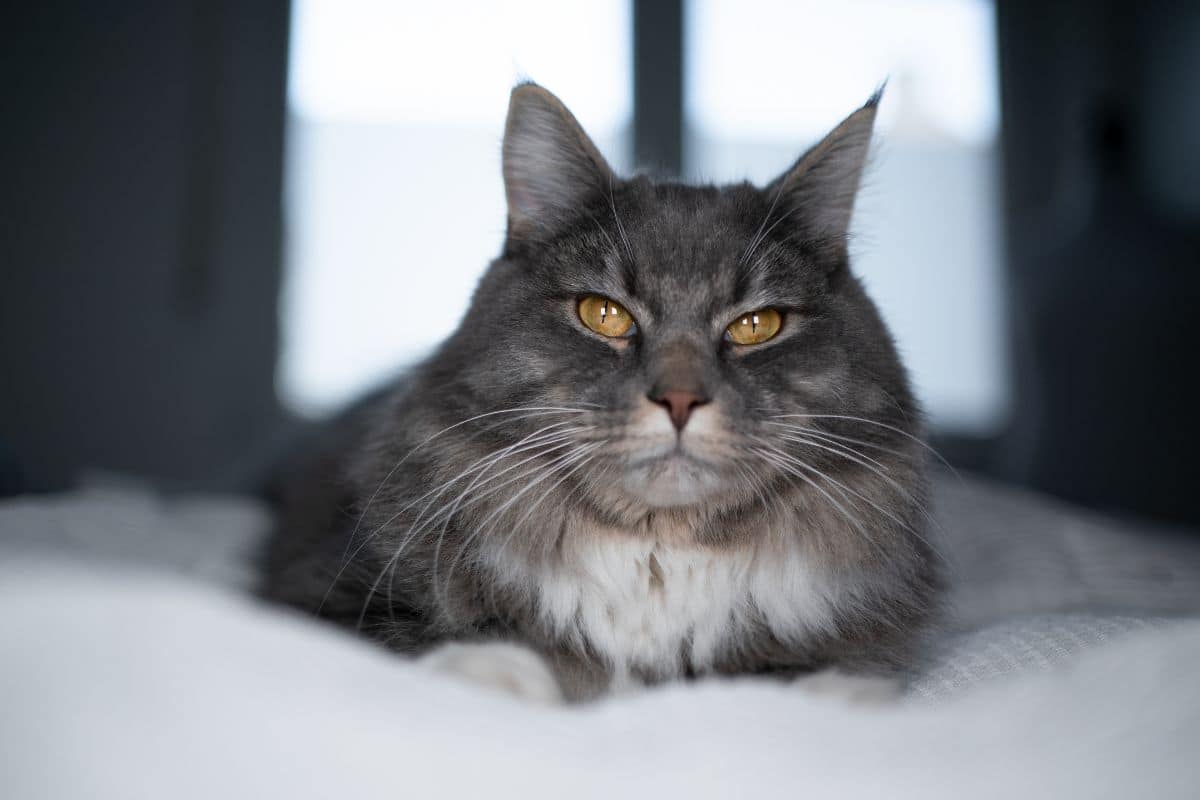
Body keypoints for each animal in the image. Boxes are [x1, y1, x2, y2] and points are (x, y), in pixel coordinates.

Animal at [260, 84, 936, 705]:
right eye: (604, 315)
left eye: (755, 326)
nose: (680, 401)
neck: (661, 557)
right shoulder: (327, 590)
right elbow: (428, 643)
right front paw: (498, 673)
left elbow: (795, 678)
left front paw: (839, 694)